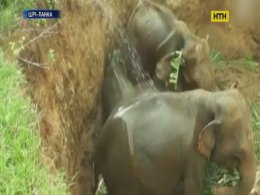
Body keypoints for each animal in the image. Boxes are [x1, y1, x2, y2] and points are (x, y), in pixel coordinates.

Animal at [94, 88, 256, 195]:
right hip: (121, 168)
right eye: (238, 152)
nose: (217, 189)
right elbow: (193, 184)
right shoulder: (192, 150)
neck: (212, 98)